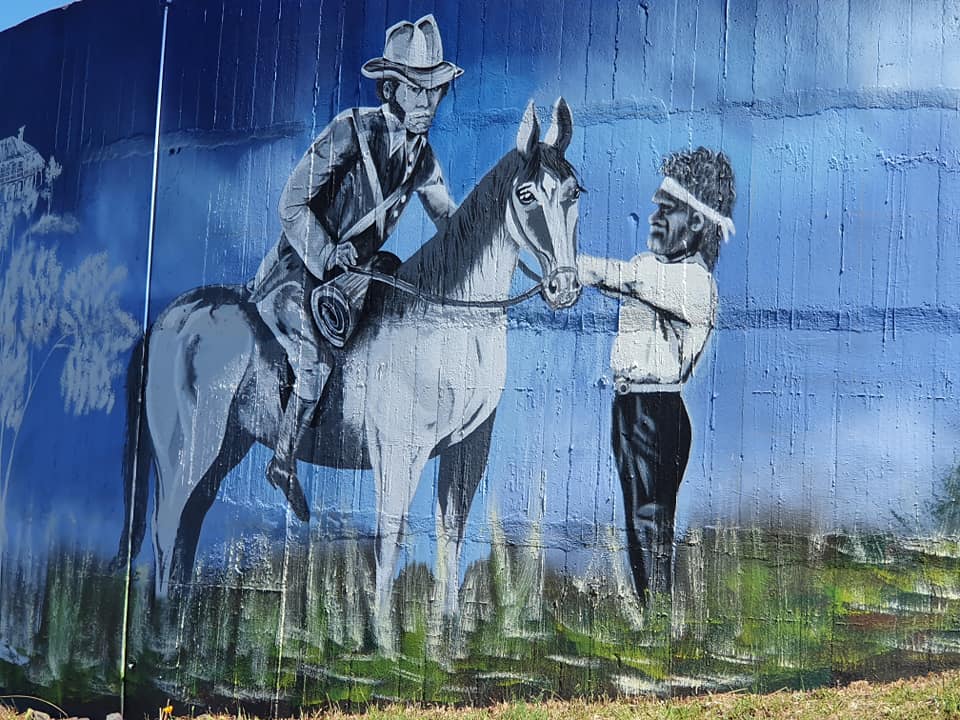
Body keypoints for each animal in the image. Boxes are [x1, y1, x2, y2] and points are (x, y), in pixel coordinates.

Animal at [116, 97, 580, 640]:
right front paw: (383, 639)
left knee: (189, 528)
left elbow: (451, 534)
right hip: (187, 451)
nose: (565, 287)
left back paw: (176, 633)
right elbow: (391, 536)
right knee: (168, 528)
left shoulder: (467, 450)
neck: (446, 319)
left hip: (228, 448)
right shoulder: (399, 454)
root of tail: (170, 317)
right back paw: (161, 635)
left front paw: (445, 636)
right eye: (526, 195)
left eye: (574, 191)